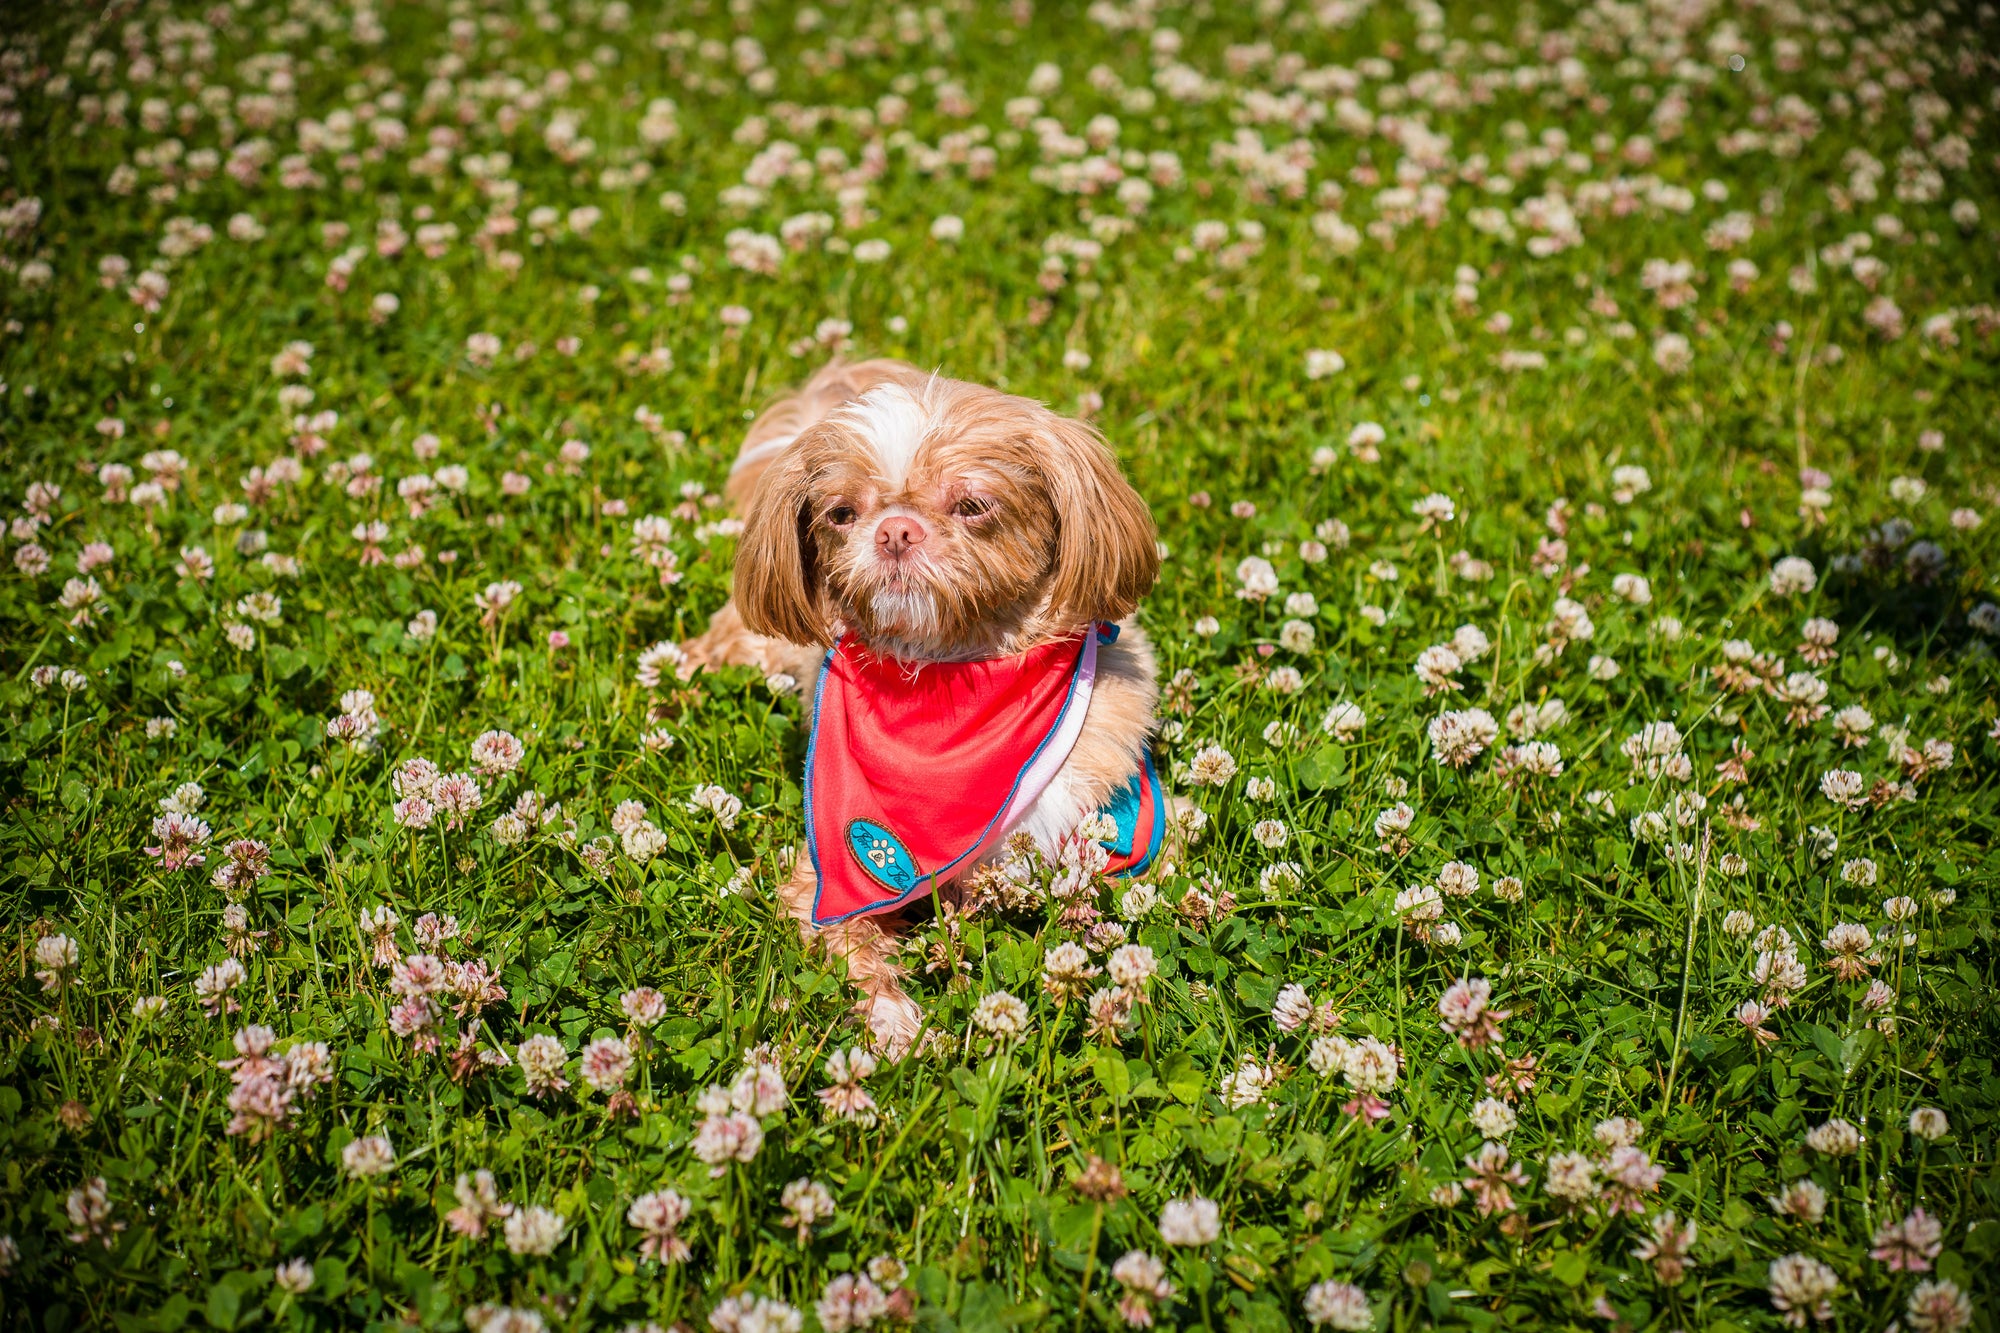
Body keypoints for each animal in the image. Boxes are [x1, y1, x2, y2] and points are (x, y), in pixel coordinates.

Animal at [684, 358, 1168, 1056]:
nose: (895, 530)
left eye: (973, 505)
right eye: (840, 514)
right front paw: (897, 1025)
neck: (949, 685)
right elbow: (856, 949)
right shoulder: (824, 883)